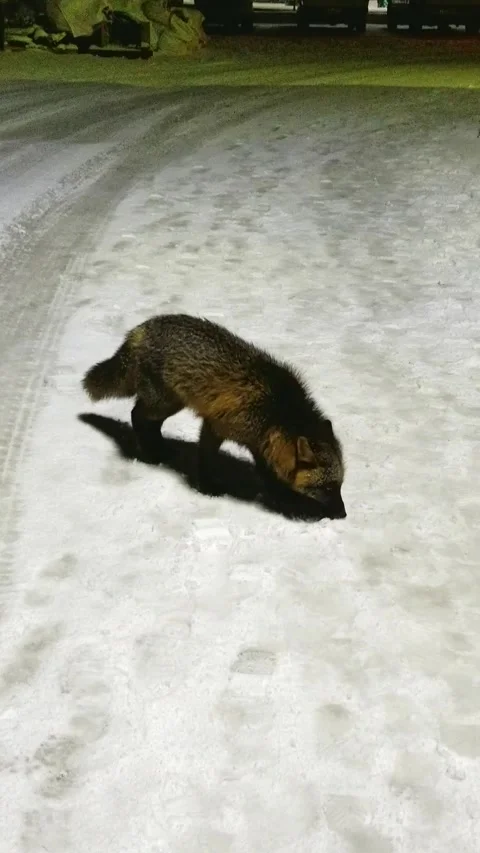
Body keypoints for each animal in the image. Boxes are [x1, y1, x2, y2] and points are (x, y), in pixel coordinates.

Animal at [82, 314, 346, 519]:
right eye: (327, 488)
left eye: (340, 485)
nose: (343, 514)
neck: (277, 410)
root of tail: (140, 329)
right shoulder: (216, 426)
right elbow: (206, 459)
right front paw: (207, 487)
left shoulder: (259, 442)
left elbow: (268, 474)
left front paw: (281, 497)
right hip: (161, 403)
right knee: (136, 415)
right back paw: (150, 453)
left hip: (171, 404)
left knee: (148, 422)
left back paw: (161, 449)